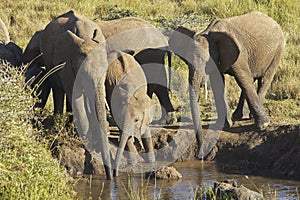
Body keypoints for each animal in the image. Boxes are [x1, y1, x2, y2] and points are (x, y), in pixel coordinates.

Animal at [170, 11, 284, 156]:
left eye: (204, 60)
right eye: (186, 61)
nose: (200, 154)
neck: (208, 34)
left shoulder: (238, 55)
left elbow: (243, 79)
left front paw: (263, 125)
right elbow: (219, 83)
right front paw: (225, 125)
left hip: (278, 50)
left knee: (263, 80)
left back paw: (252, 116)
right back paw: (238, 116)